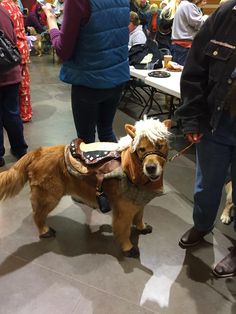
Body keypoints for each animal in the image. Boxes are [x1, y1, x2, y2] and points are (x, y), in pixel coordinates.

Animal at [0, 118, 171, 258]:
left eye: (160, 146)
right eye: (141, 149)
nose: (150, 168)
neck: (131, 170)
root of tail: (39, 151)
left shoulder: (138, 203)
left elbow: (139, 217)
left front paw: (142, 227)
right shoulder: (123, 212)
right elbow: (123, 231)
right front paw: (128, 248)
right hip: (48, 197)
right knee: (37, 215)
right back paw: (44, 230)